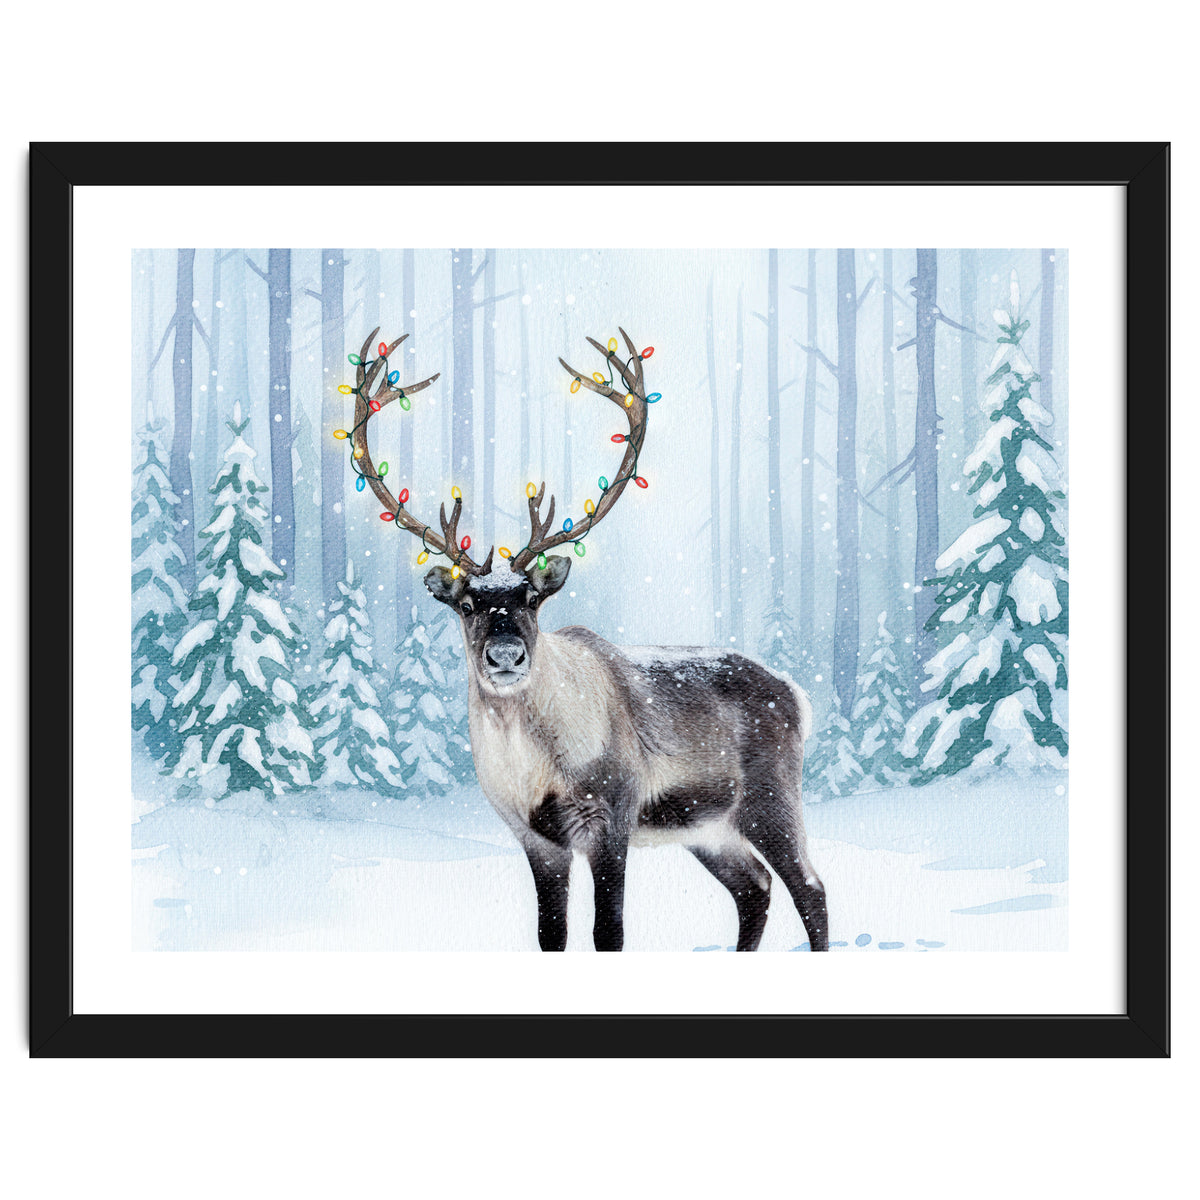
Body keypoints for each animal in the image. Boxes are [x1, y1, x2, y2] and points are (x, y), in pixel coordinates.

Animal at [347, 326, 828, 952]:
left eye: (532, 599)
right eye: (468, 604)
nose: (506, 655)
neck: (536, 770)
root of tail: (797, 693)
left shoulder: (611, 815)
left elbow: (609, 931)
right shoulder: (536, 838)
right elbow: (551, 934)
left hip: (769, 798)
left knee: (809, 888)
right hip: (708, 826)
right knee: (755, 887)